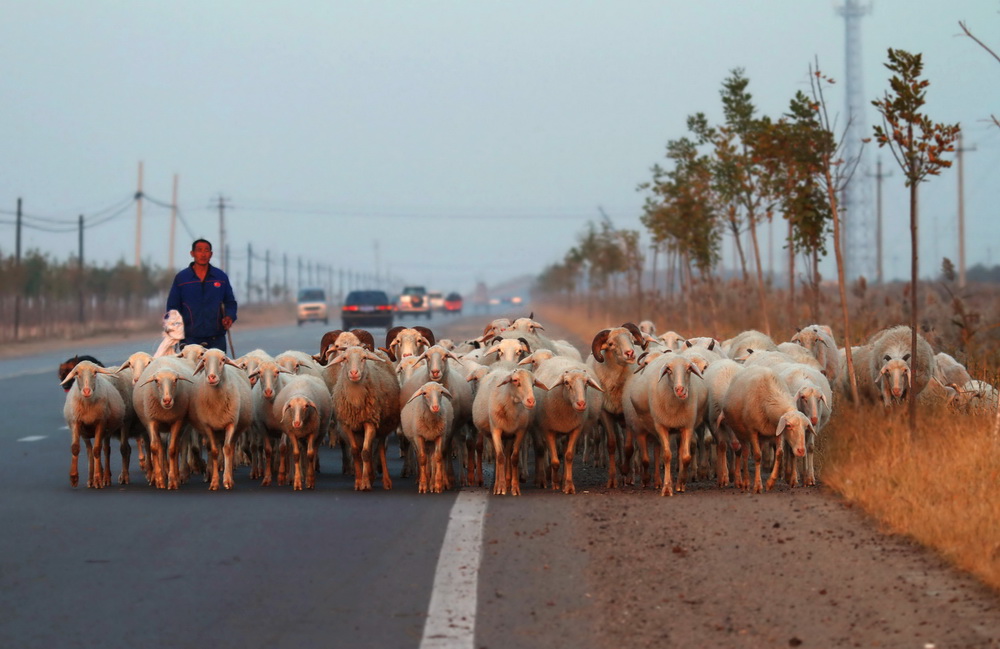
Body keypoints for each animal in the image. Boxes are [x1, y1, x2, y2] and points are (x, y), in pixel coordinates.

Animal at [188, 346, 254, 488]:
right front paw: (214, 482)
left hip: (235, 429)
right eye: (204, 360)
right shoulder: (208, 426)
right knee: (210, 448)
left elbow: (227, 449)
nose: (212, 377)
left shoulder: (231, 423)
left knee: (231, 447)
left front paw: (227, 480)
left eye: (223, 360)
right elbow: (214, 451)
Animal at [332, 344, 402, 492]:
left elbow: (365, 452)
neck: (355, 399)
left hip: (382, 427)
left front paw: (365, 483)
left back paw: (386, 481)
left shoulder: (370, 422)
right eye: (345, 358)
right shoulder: (347, 425)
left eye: (364, 358)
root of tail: (375, 350)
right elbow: (355, 452)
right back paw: (371, 475)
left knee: (380, 449)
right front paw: (359, 481)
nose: (354, 373)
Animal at [470, 364, 548, 496]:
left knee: (507, 453)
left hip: (509, 436)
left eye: (533, 383)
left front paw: (514, 487)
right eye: (515, 380)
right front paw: (499, 488)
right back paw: (498, 482)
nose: (531, 401)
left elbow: (514, 458)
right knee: (498, 456)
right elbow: (500, 457)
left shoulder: (519, 431)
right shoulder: (496, 430)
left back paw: (507, 481)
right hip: (491, 434)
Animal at [532, 356, 600, 494]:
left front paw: (568, 485)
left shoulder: (576, 429)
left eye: (586, 383)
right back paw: (542, 479)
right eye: (566, 383)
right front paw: (555, 483)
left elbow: (568, 456)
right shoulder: (548, 430)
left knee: (563, 452)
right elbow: (554, 460)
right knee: (541, 450)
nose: (581, 404)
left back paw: (563, 480)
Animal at [720, 364, 812, 492]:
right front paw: (758, 486)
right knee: (745, 453)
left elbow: (779, 453)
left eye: (805, 428)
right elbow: (758, 456)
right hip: (740, 433)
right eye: (789, 426)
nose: (801, 451)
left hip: (761, 436)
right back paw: (745, 482)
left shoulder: (777, 431)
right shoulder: (752, 431)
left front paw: (770, 482)